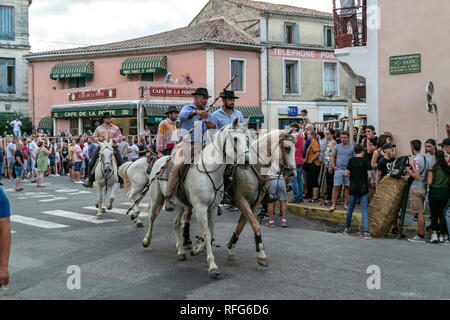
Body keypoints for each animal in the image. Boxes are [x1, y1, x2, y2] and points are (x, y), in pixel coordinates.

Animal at [142, 117, 248, 278]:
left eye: (247, 139)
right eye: (235, 139)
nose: (247, 160)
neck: (209, 171)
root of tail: (161, 159)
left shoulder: (212, 208)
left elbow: (210, 233)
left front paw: (196, 250)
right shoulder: (200, 208)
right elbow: (207, 233)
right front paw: (212, 266)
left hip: (180, 203)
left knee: (176, 223)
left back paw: (180, 251)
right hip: (156, 197)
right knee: (152, 217)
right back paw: (147, 240)